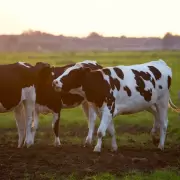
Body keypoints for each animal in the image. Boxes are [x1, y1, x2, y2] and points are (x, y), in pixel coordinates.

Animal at [52, 59, 180, 152]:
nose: (54, 82)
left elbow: (100, 131)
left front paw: (97, 148)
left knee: (164, 123)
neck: (101, 82)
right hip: (150, 103)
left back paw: (161, 145)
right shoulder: (102, 111)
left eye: (72, 73)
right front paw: (114, 148)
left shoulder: (109, 109)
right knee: (157, 117)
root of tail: (160, 62)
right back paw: (154, 137)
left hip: (162, 102)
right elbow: (111, 130)